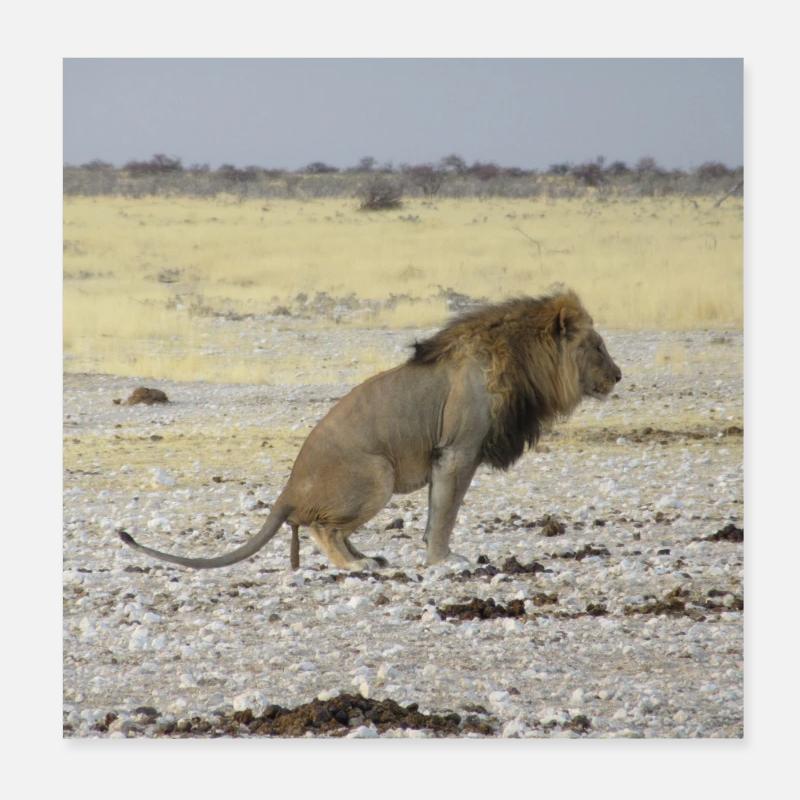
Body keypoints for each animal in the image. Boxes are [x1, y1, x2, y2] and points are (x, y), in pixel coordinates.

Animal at [119, 288, 621, 571]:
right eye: (597, 346)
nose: (618, 375)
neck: (522, 362)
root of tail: (286, 491)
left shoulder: (450, 456)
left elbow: (436, 514)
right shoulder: (457, 452)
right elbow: (446, 513)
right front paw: (444, 562)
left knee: (337, 530)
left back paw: (367, 557)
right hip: (379, 472)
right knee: (323, 529)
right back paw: (357, 567)